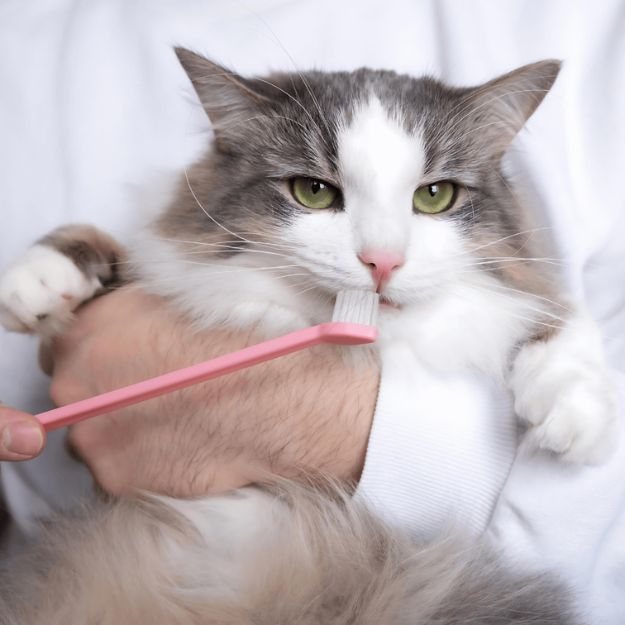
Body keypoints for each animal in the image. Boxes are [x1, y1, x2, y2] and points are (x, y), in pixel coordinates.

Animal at [0, 47, 612, 620]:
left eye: (434, 196)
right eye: (313, 192)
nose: (382, 261)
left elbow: (559, 313)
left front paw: (577, 412)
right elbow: (106, 249)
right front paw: (37, 281)